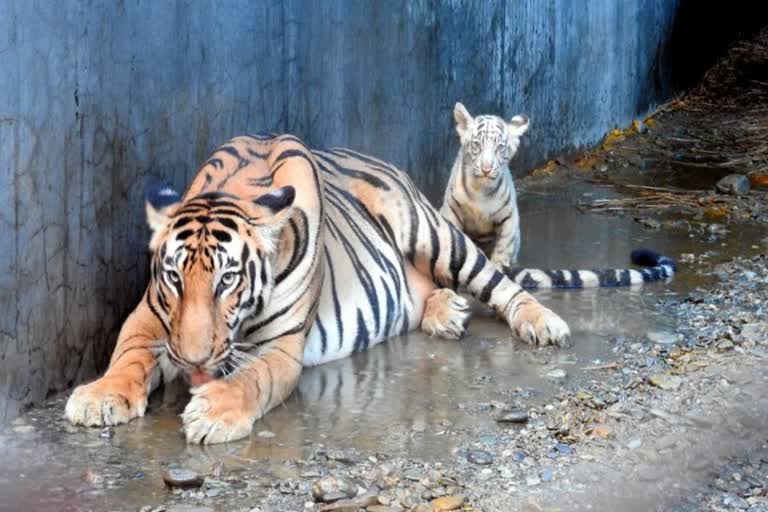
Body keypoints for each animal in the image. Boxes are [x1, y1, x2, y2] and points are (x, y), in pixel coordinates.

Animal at [64, 134, 568, 442]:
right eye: (174, 277)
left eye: (228, 280)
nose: (191, 362)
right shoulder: (149, 313)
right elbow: (128, 352)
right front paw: (101, 395)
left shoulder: (283, 346)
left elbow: (252, 378)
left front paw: (212, 412)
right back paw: (446, 311)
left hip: (433, 232)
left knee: (499, 282)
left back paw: (544, 323)